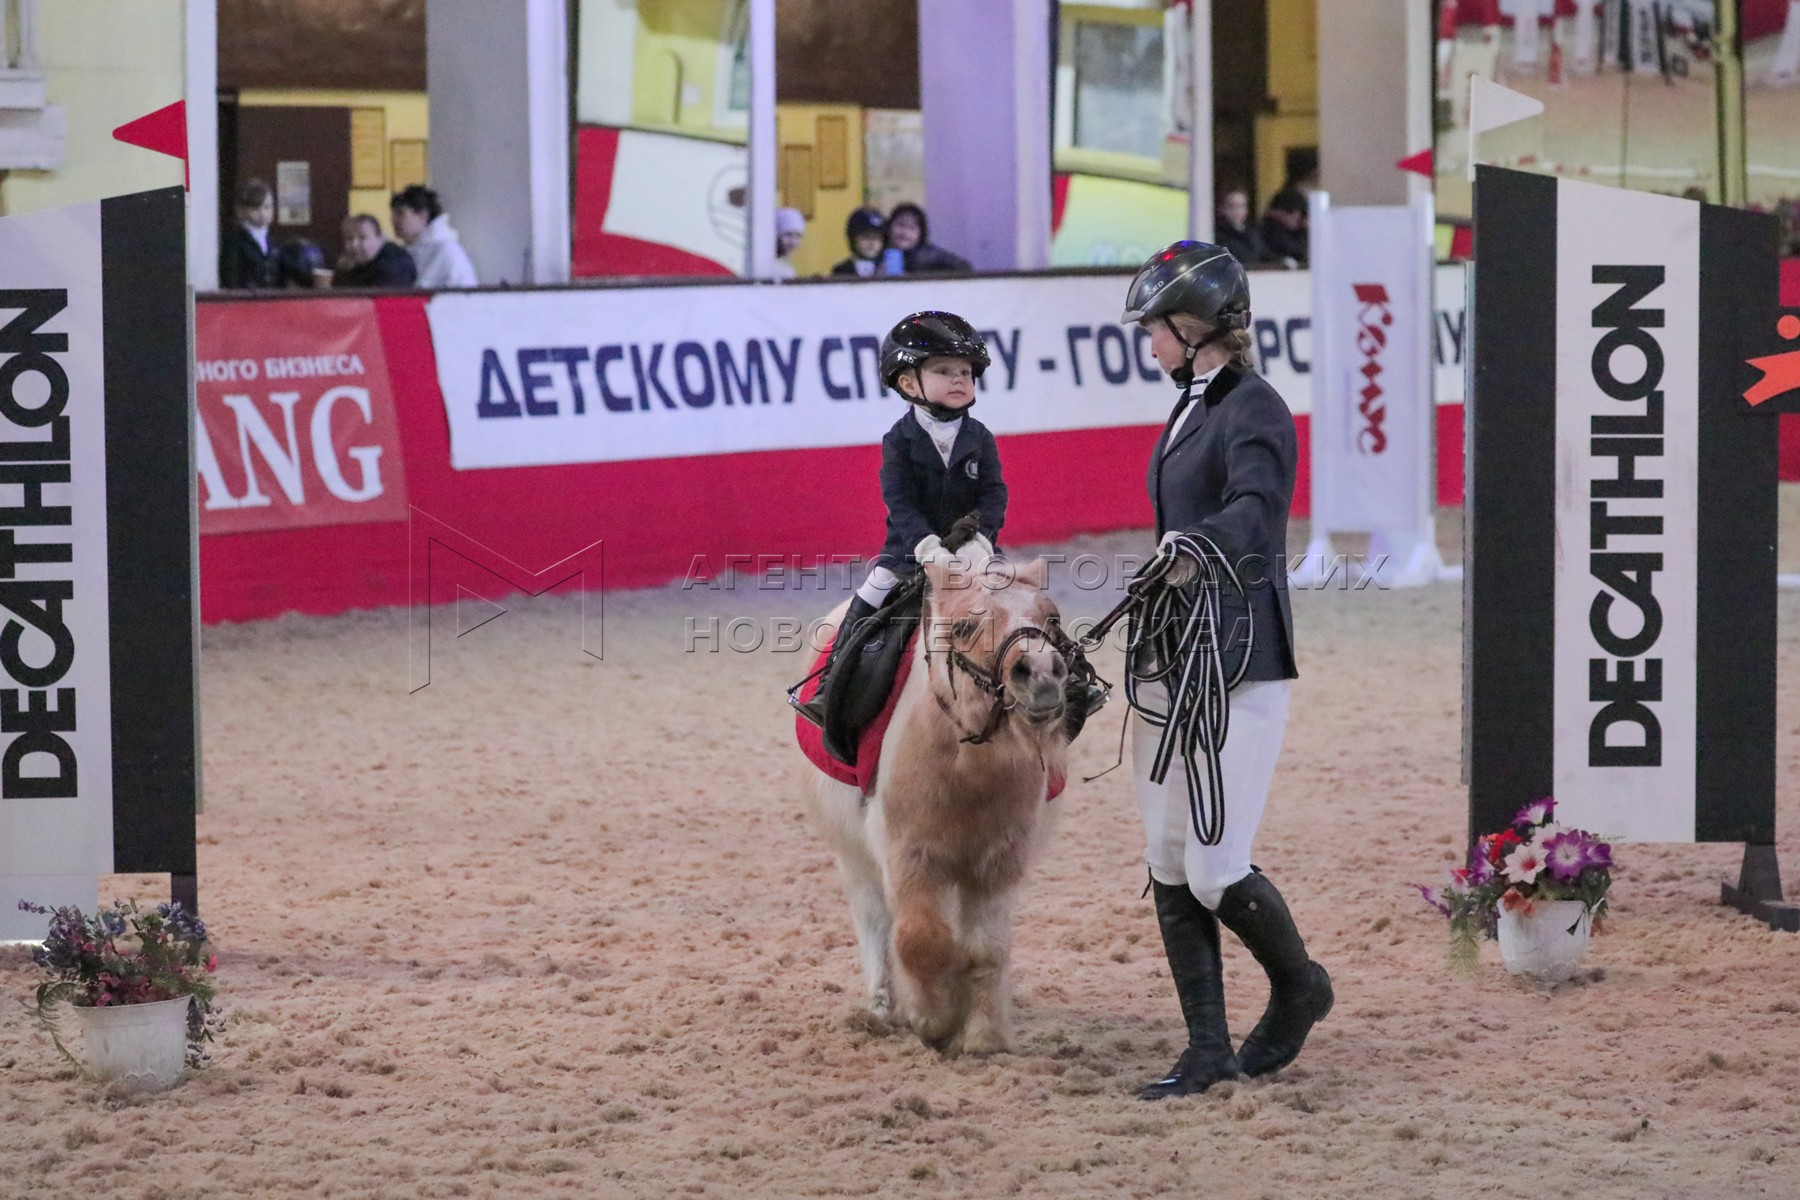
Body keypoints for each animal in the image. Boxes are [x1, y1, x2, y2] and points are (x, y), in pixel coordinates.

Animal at [802, 550, 1065, 1057]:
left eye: (1052, 618)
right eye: (963, 626)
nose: (1041, 675)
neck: (967, 765)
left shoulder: (997, 862)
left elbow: (984, 948)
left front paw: (982, 1034)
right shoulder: (909, 854)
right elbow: (919, 939)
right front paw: (934, 1021)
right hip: (854, 854)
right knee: (875, 921)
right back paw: (881, 1009)